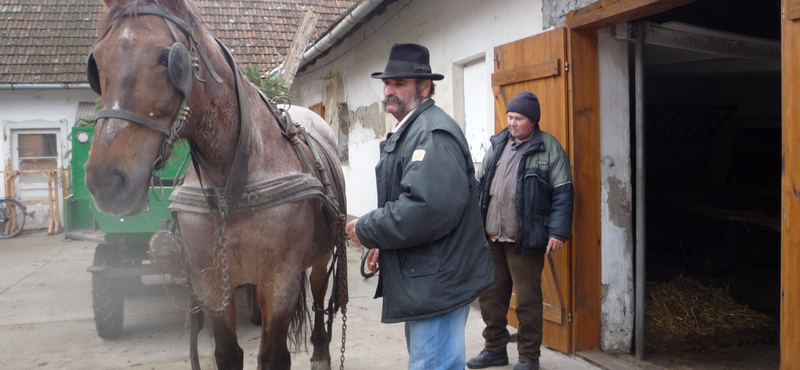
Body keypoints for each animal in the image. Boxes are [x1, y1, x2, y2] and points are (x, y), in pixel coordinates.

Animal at [83, 0, 348, 370]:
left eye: (166, 58)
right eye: (96, 62)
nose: (106, 179)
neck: (232, 183)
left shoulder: (280, 278)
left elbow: (275, 356)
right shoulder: (209, 281)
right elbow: (228, 353)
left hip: (319, 258)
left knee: (320, 296)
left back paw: (321, 354)